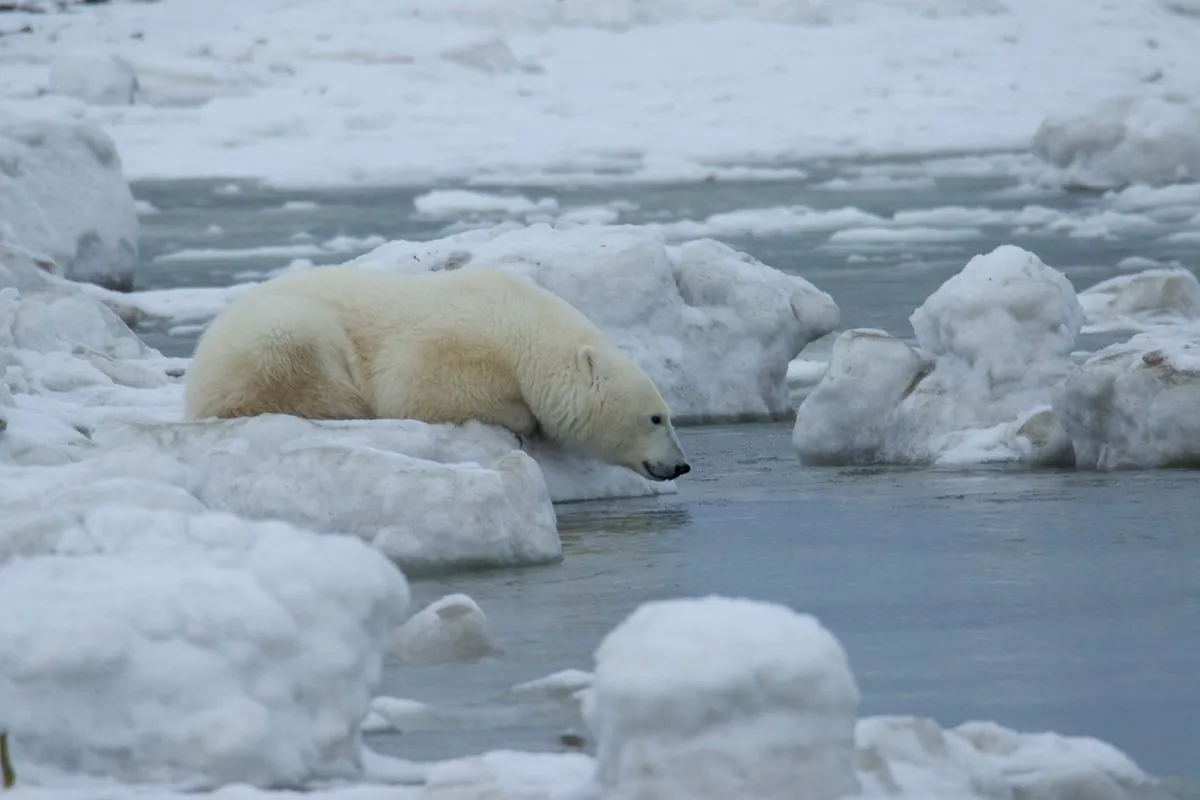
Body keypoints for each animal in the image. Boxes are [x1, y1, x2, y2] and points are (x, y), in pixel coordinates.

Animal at [186, 267, 696, 482]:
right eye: (656, 417)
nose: (682, 465)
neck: (523, 329)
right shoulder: (451, 344)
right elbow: (415, 390)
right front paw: (523, 419)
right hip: (282, 330)